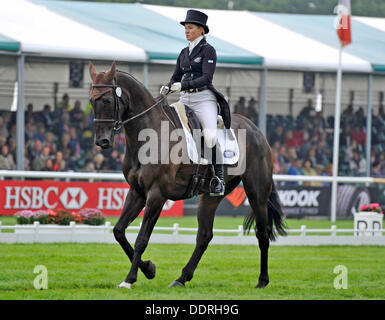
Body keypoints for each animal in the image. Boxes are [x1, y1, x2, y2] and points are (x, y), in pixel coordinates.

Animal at [88, 62, 284, 290]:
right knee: (204, 236)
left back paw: (262, 280)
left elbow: (141, 239)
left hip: (256, 193)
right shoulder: (137, 192)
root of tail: (256, 130)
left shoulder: (157, 194)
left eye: (107, 100)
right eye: (91, 100)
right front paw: (149, 269)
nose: (101, 141)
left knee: (263, 233)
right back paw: (181, 278)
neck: (149, 135)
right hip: (210, 196)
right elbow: (119, 231)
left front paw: (130, 279)